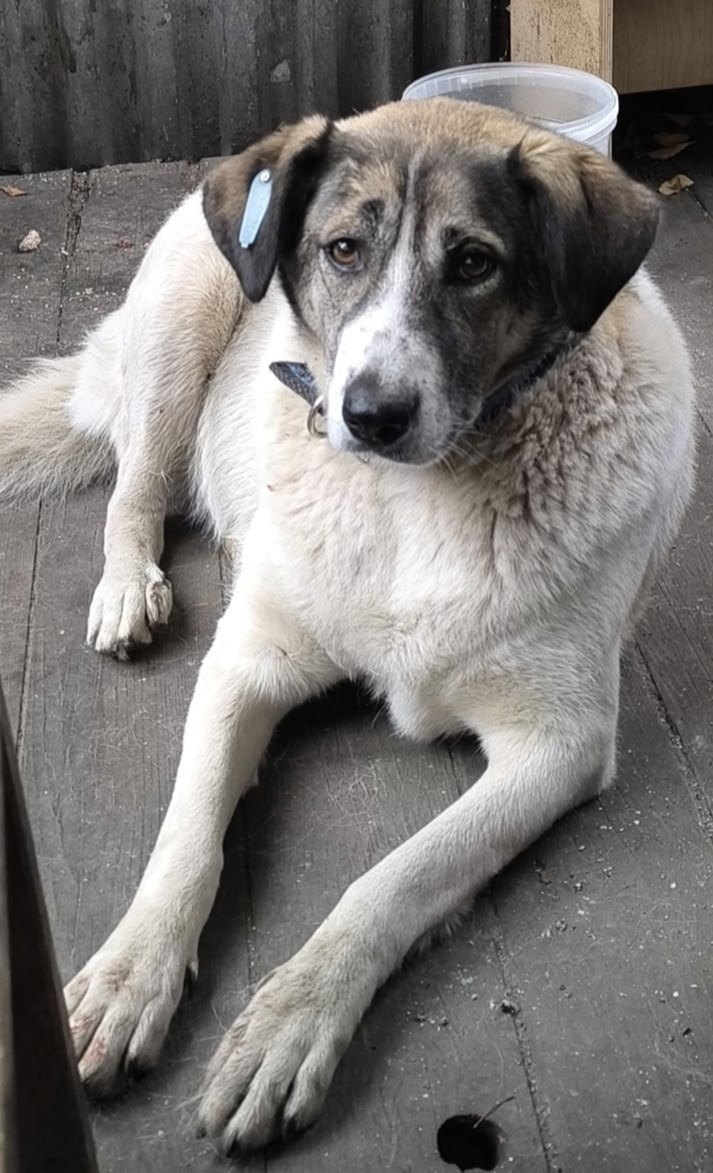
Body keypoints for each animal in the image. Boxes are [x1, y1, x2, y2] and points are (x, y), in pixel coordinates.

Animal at [0, 98, 695, 1154]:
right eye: (341, 250)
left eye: (474, 262)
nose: (367, 414)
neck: (415, 496)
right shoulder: (244, 665)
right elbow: (185, 838)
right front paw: (130, 974)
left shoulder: (559, 742)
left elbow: (394, 878)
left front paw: (288, 1022)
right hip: (179, 326)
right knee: (135, 488)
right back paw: (127, 588)